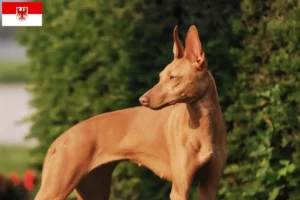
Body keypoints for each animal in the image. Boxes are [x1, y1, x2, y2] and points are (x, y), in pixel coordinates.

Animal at [34, 25, 225, 200]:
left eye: (173, 77)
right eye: (160, 76)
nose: (142, 99)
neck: (203, 125)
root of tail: (59, 140)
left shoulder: (208, 188)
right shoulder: (180, 189)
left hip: (94, 190)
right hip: (55, 189)